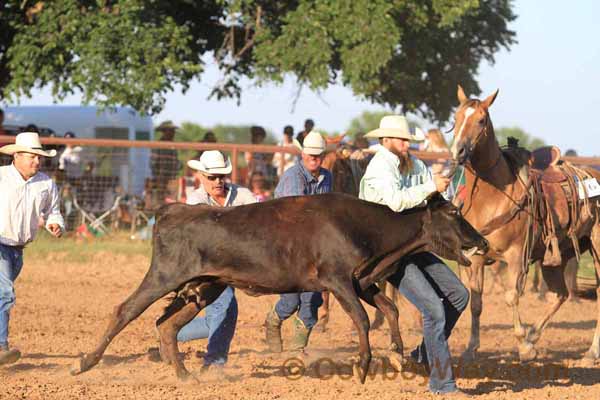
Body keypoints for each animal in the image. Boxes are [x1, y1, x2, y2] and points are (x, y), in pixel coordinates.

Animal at [450, 86, 600, 364]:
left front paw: (523, 347)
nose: (458, 152)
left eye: (481, 120)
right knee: (559, 293)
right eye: (455, 118)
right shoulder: (476, 258)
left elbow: (511, 297)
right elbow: (476, 302)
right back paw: (534, 336)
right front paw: (471, 348)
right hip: (557, 255)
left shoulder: (516, 256)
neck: (492, 196)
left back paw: (590, 352)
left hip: (597, 249)